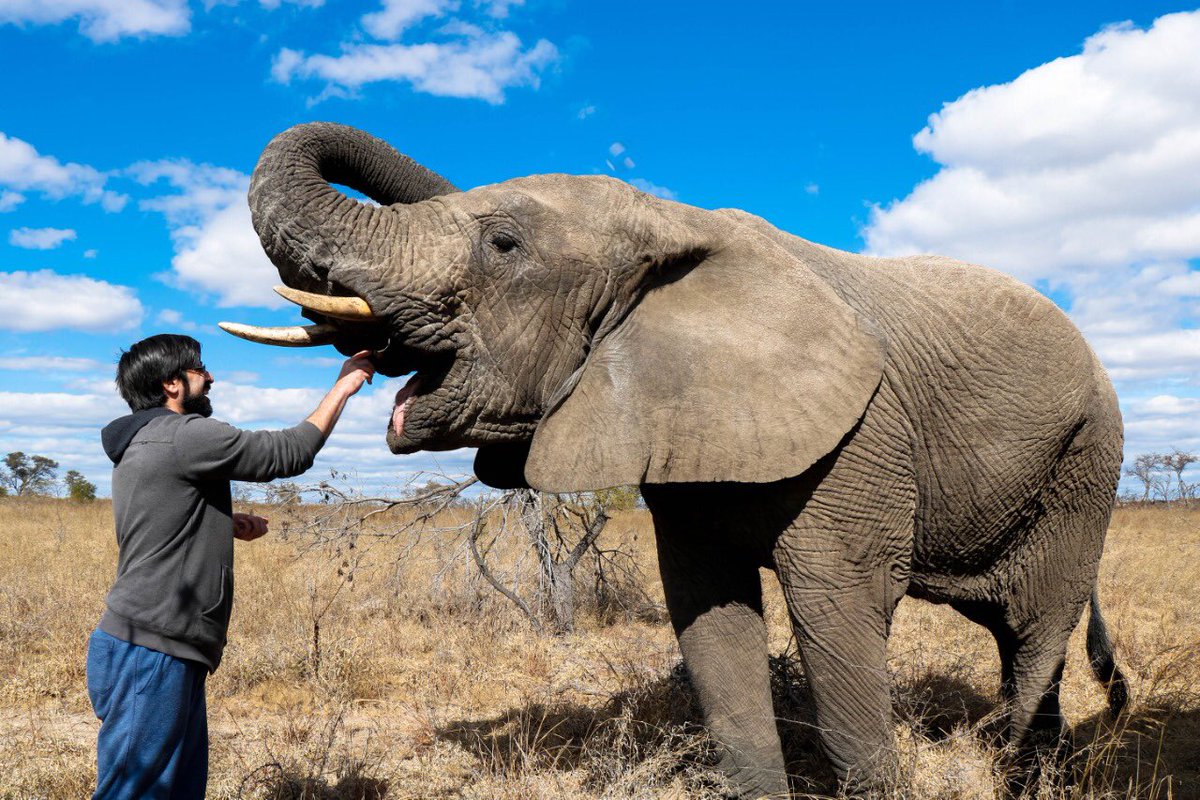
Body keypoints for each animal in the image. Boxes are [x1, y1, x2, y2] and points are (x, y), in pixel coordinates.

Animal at [222, 122, 1128, 798]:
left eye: (505, 245)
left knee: (1035, 631)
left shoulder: (863, 439)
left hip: (1087, 460)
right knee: (1018, 635)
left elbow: (838, 621)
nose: (365, 355)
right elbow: (710, 624)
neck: (671, 220)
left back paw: (1014, 768)